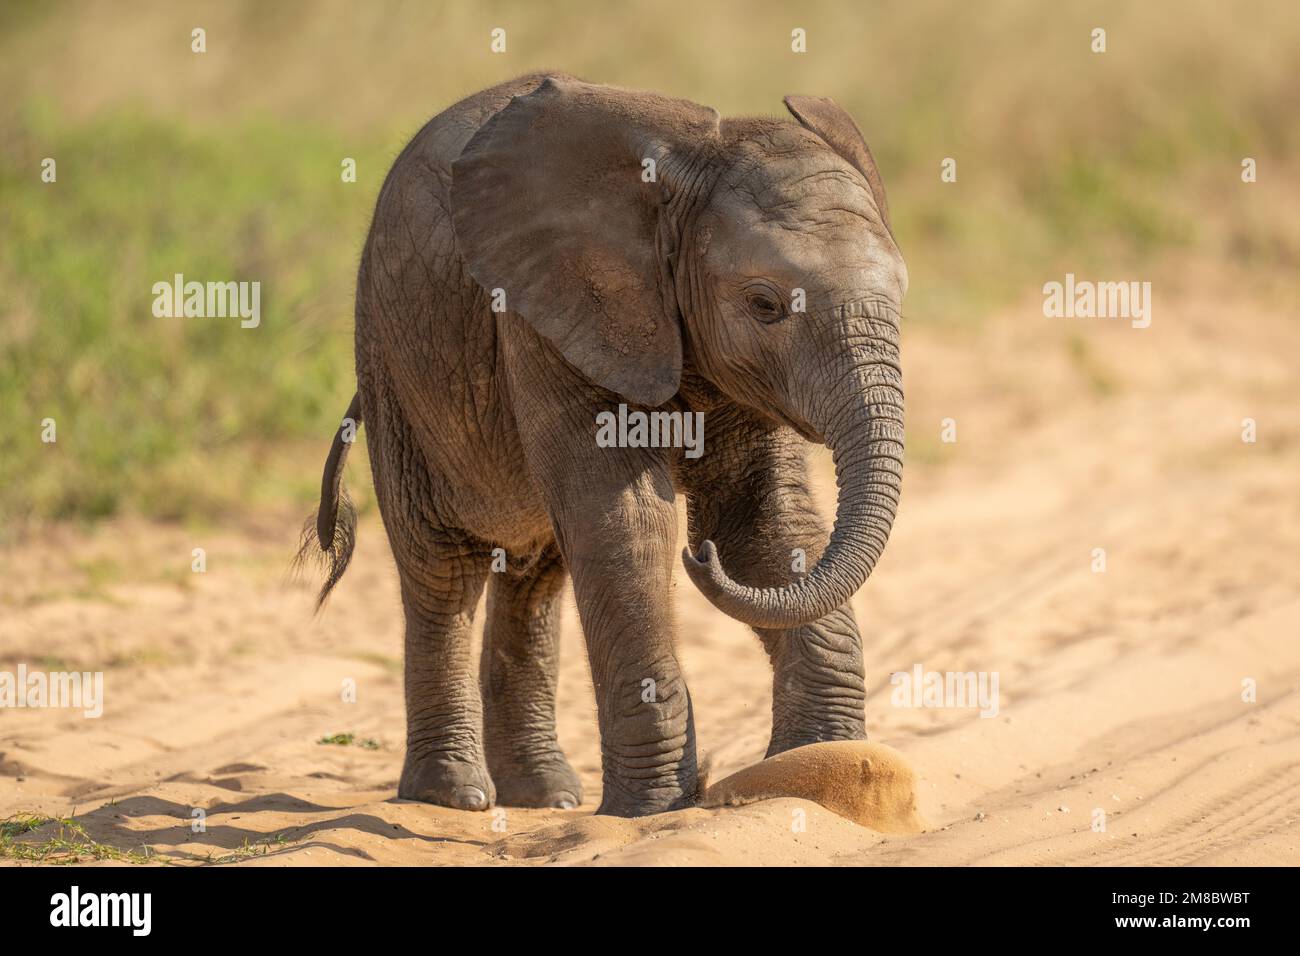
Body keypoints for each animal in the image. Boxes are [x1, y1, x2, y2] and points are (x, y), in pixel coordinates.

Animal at [300, 73, 907, 818]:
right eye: (765, 305)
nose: (699, 556)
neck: (686, 175)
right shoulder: (545, 312)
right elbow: (628, 521)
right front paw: (653, 810)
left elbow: (761, 522)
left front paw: (820, 767)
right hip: (393, 362)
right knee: (440, 571)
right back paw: (454, 798)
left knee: (534, 578)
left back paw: (547, 798)